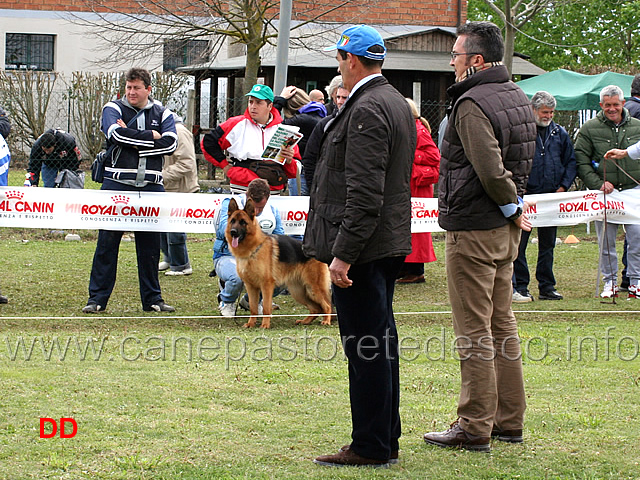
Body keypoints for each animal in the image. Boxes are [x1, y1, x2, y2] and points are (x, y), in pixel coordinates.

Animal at [225, 197, 332, 328]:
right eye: (233, 221)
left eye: (243, 222)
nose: (233, 232)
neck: (252, 249)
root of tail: (315, 250)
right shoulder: (251, 287)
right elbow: (253, 308)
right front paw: (251, 324)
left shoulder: (266, 285)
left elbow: (266, 307)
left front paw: (265, 325)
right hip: (299, 292)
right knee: (315, 309)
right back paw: (305, 321)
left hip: (313, 289)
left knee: (327, 306)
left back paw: (326, 321)